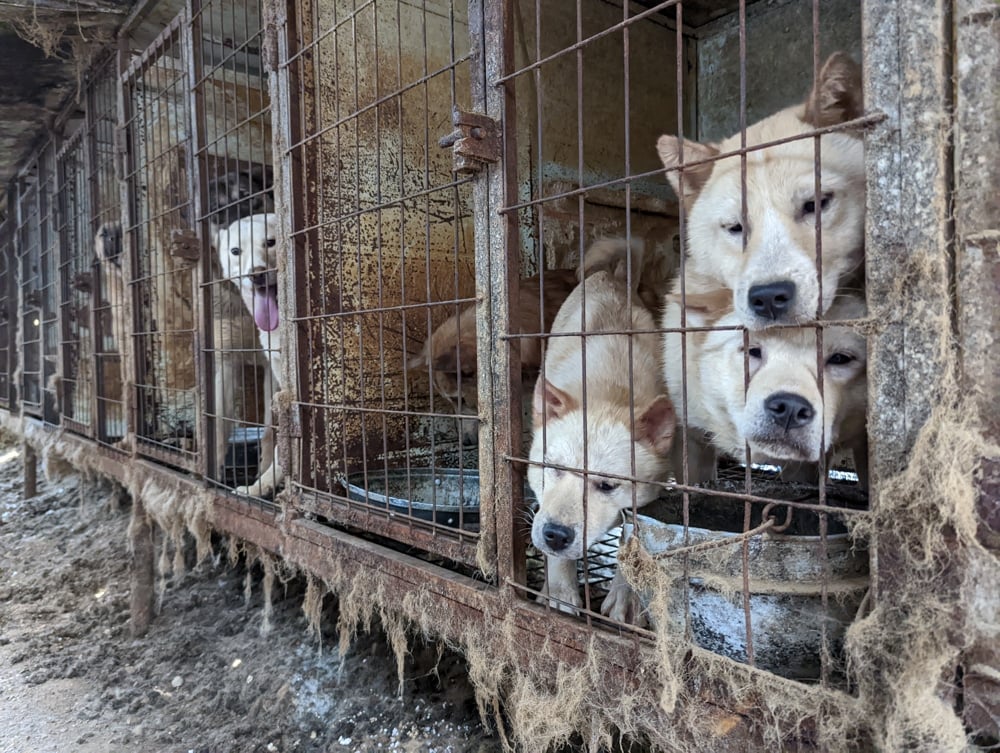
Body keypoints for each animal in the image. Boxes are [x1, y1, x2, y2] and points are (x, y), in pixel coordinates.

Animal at [528, 239, 676, 616]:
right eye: (552, 468)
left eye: (607, 486)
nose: (555, 534)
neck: (608, 392)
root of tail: (615, 276)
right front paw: (559, 593)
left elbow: (635, 540)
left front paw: (625, 597)